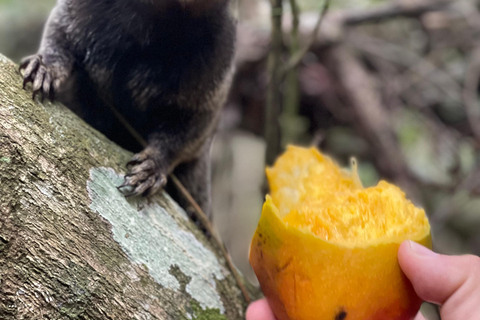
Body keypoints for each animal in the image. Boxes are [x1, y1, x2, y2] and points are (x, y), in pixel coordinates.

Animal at [19, 0, 237, 220]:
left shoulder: (219, 50)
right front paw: (46, 67)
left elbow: (194, 125)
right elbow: (60, 35)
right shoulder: (83, 10)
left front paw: (154, 163)